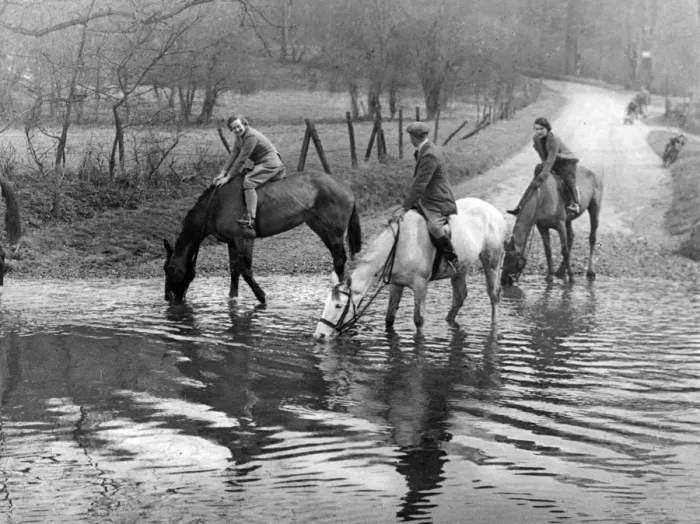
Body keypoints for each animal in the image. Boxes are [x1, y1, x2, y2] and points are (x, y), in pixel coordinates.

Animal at [163, 169, 361, 303]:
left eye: (170, 269)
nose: (167, 297)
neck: (215, 205)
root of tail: (345, 187)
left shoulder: (245, 238)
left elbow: (245, 270)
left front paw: (262, 297)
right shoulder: (232, 242)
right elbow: (234, 271)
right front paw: (232, 299)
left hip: (334, 231)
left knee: (339, 259)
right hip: (320, 227)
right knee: (337, 258)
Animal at [313, 197, 506, 340]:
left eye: (338, 306)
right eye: (325, 303)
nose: (319, 335)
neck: (399, 246)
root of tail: (494, 212)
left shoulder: (420, 285)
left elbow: (418, 320)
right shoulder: (396, 284)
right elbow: (389, 318)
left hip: (492, 261)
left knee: (494, 295)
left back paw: (494, 327)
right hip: (460, 268)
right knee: (460, 297)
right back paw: (449, 322)